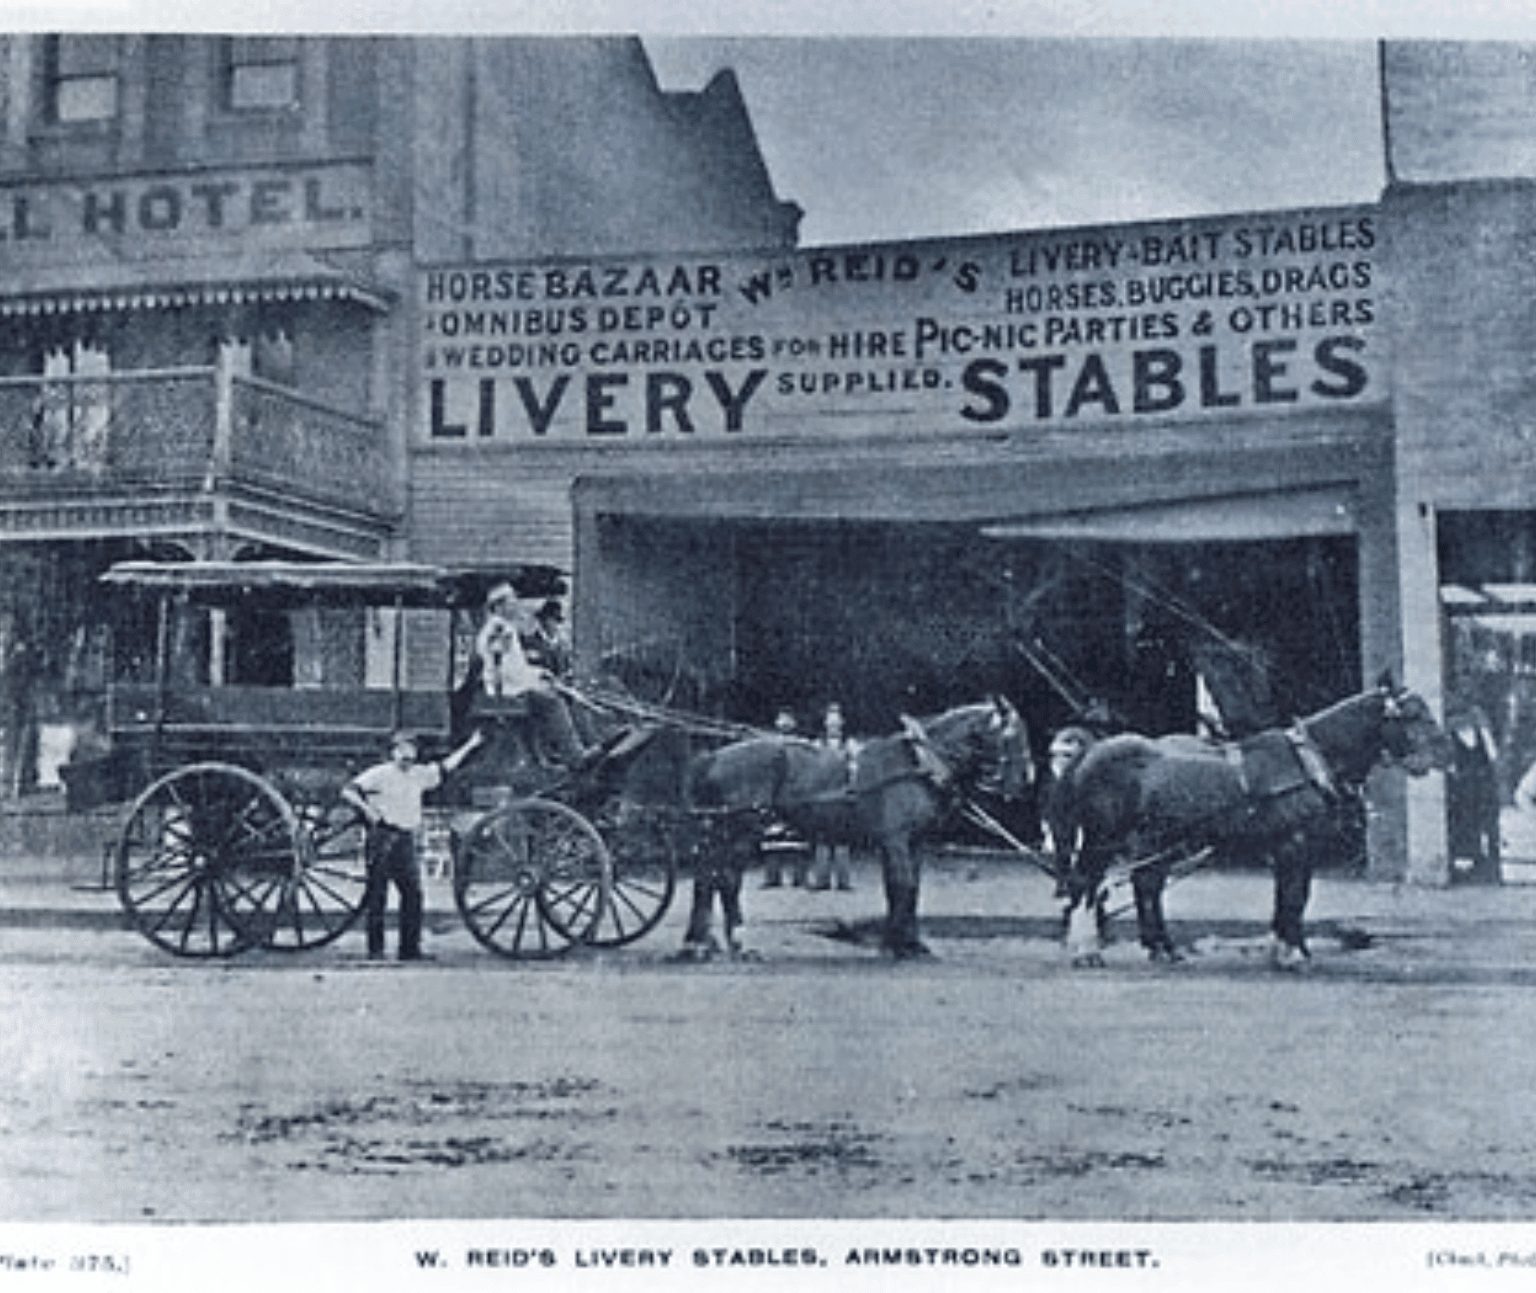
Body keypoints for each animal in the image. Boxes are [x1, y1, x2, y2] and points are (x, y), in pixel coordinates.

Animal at [685, 694, 1032, 958]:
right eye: (1011, 735)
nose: (1026, 781)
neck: (919, 762)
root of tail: (713, 757)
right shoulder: (895, 840)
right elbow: (902, 885)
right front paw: (896, 945)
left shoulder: (913, 842)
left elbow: (910, 888)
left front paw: (911, 943)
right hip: (741, 830)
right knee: (727, 880)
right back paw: (737, 942)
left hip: (719, 830)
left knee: (706, 878)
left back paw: (701, 943)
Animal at [1056, 675, 1449, 970]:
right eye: (1413, 714)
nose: (1448, 754)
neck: (1309, 762)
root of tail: (1090, 751)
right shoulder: (1294, 843)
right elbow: (1293, 896)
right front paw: (1293, 954)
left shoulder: (1296, 847)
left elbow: (1291, 897)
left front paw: (1286, 949)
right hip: (1103, 838)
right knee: (1087, 884)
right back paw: (1086, 951)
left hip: (1157, 839)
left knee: (1145, 884)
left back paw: (1163, 949)